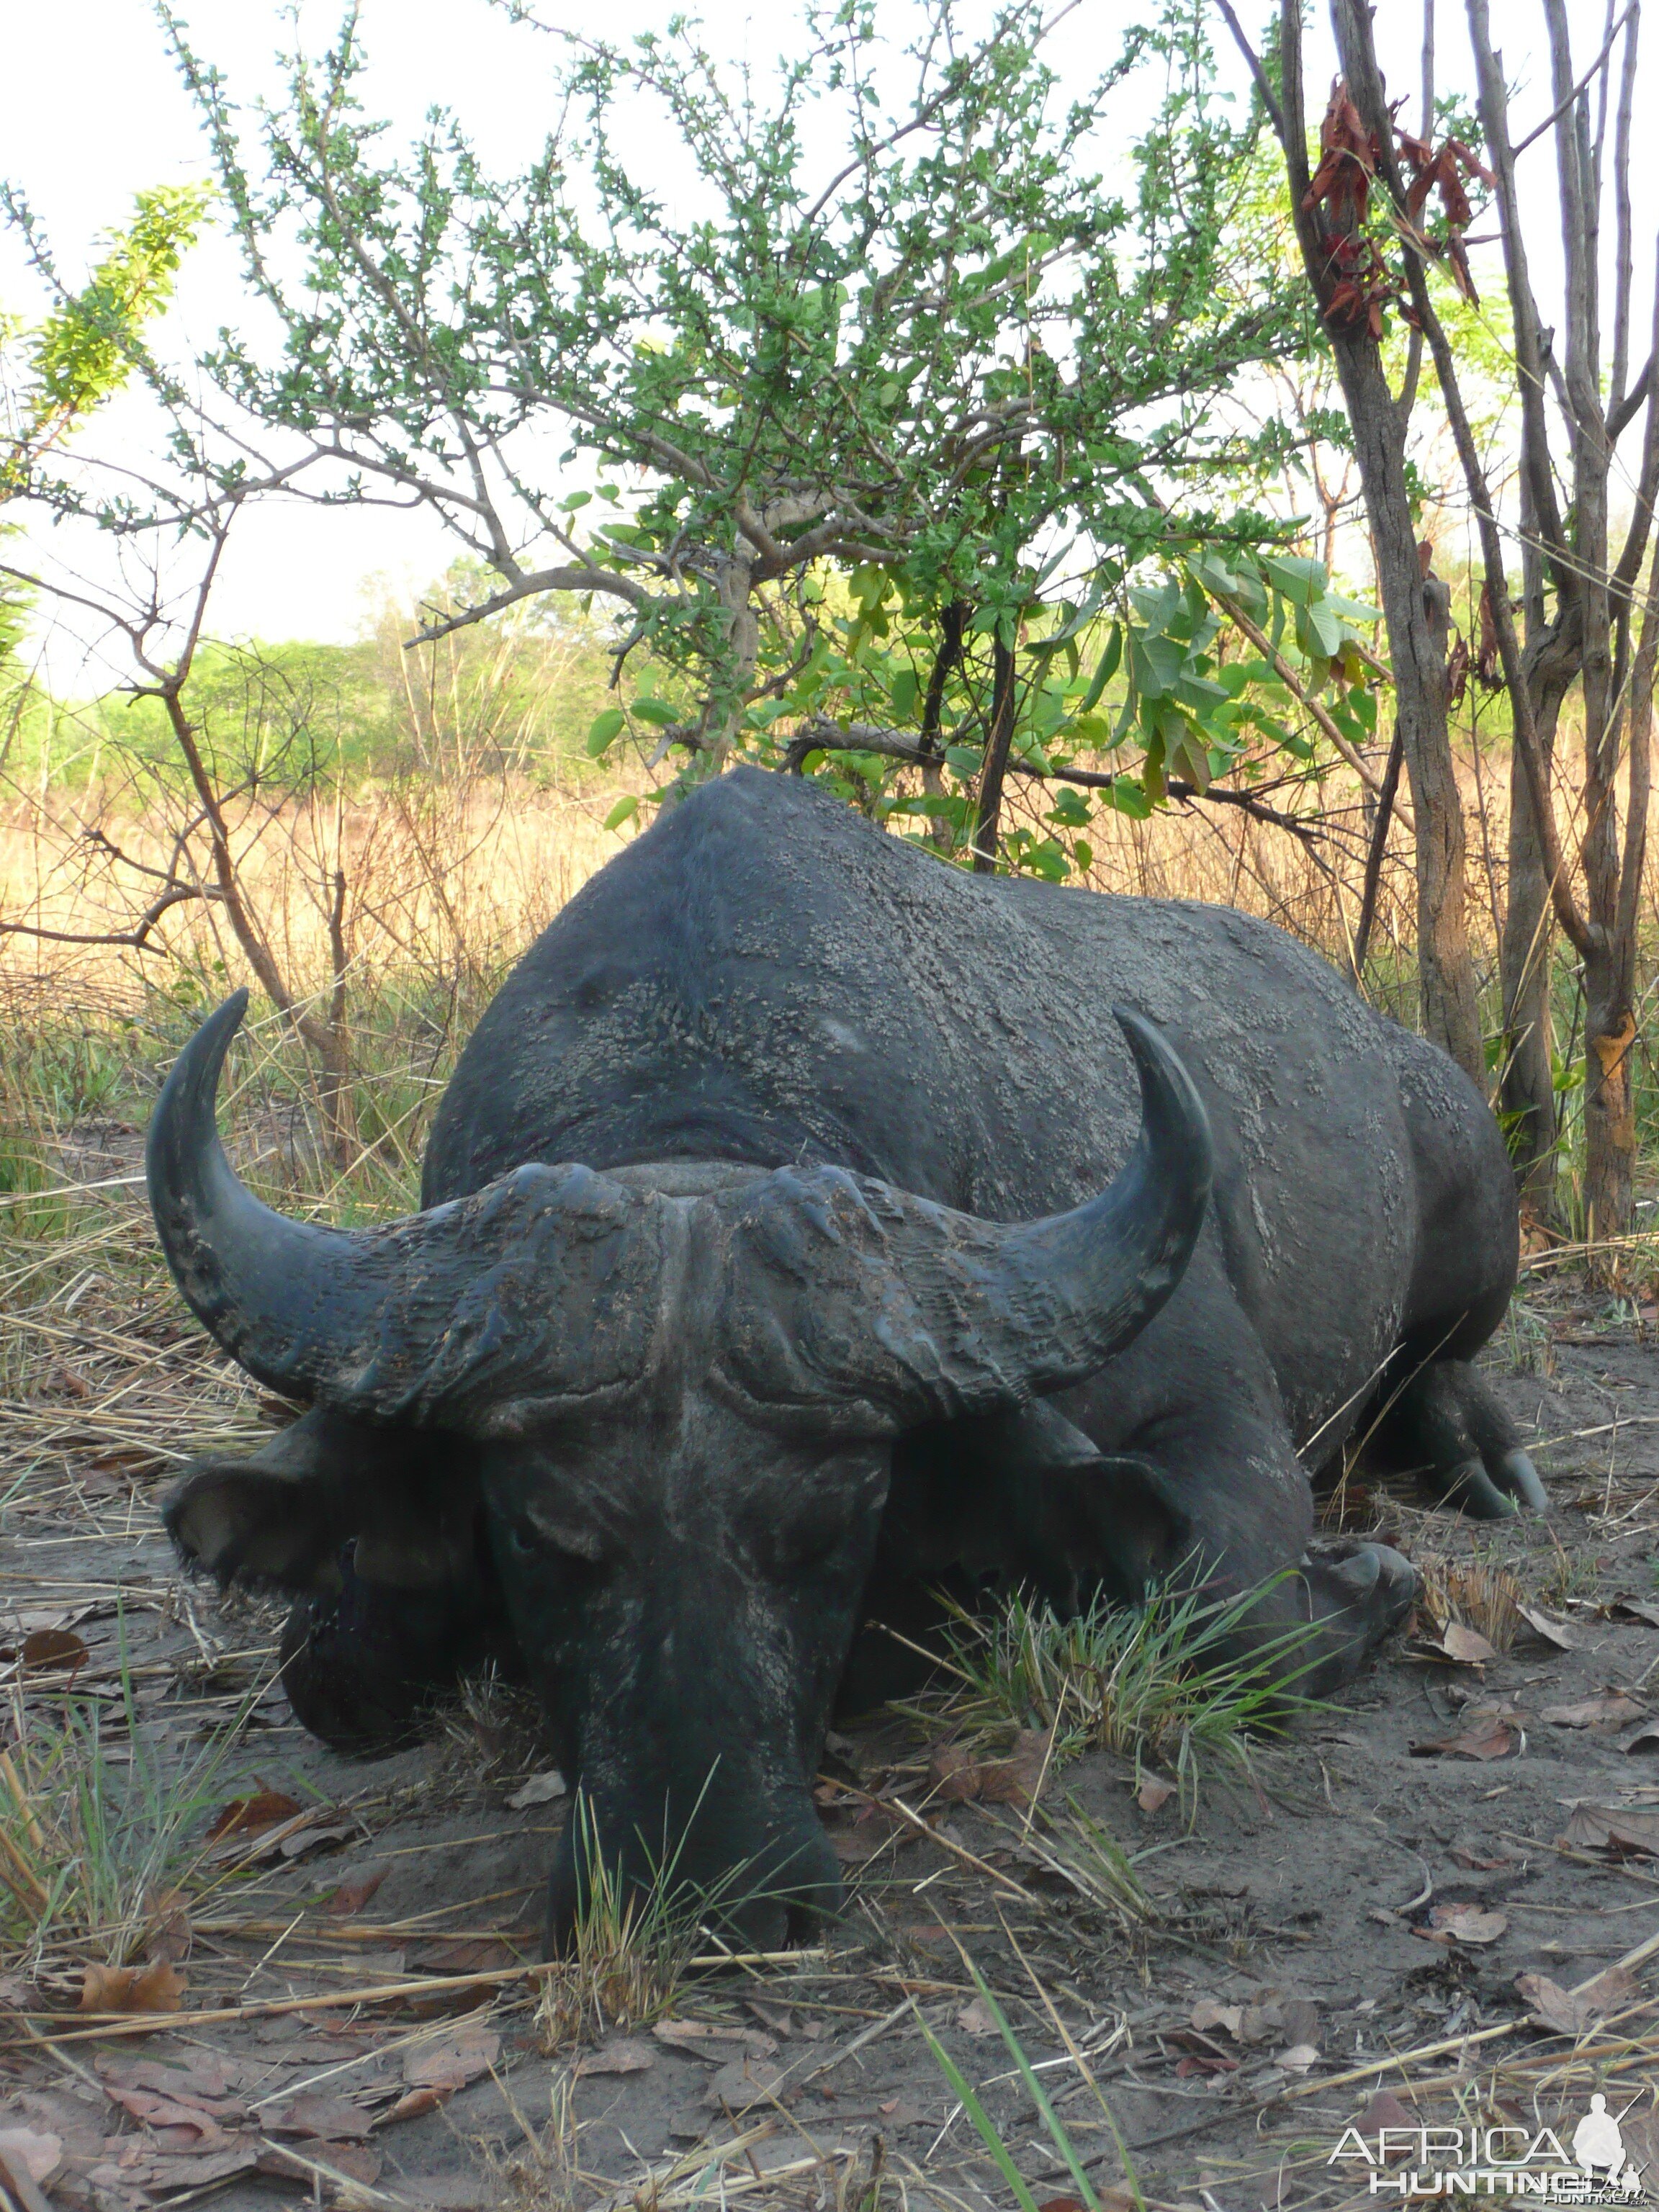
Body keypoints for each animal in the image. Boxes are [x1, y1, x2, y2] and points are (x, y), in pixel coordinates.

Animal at [156, 770, 1548, 1946]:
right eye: (541, 1531)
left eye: (830, 1523)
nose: (711, 1879)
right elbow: (333, 1669)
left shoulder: (1205, 1413)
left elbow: (1229, 1617)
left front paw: (1374, 1582)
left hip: (1469, 1190)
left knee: (1437, 1363)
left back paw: (1477, 1454)